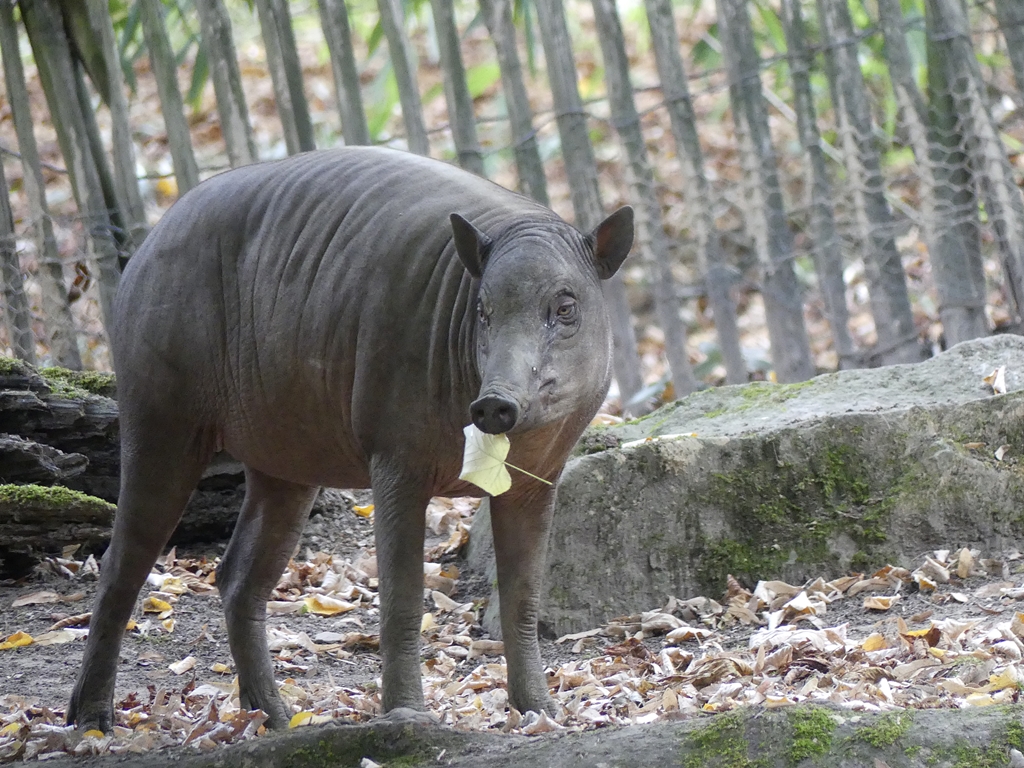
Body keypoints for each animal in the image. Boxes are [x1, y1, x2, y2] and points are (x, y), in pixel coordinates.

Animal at [67, 146, 633, 731]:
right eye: (483, 310)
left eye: (565, 308)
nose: (493, 403)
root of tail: (140, 253)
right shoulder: (396, 460)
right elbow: (403, 597)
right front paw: (407, 715)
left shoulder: (537, 481)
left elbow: (523, 598)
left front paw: (540, 712)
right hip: (159, 418)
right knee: (120, 566)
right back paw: (91, 720)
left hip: (284, 462)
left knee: (237, 578)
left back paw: (274, 717)